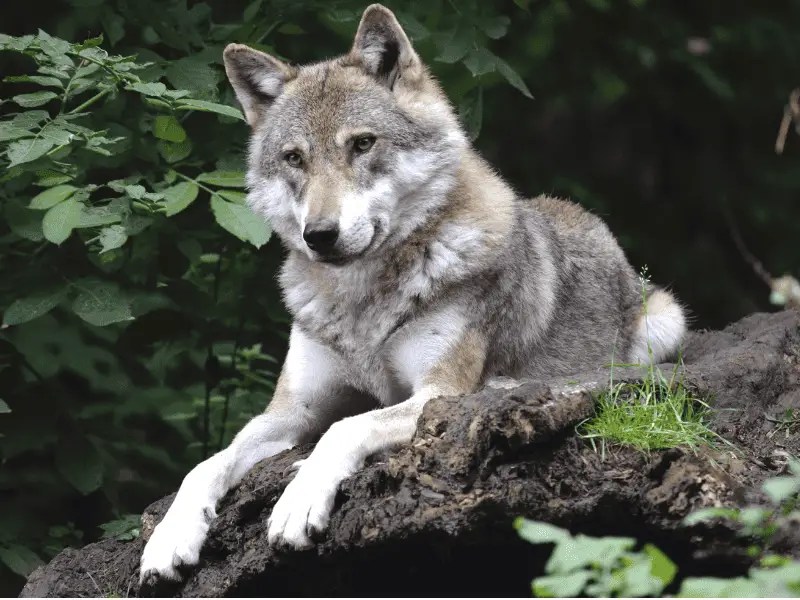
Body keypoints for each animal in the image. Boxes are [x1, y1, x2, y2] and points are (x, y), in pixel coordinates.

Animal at [139, 4, 686, 583]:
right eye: (294, 159)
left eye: (362, 143)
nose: (319, 235)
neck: (361, 304)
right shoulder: (291, 411)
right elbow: (206, 464)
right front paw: (169, 538)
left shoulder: (434, 393)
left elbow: (345, 428)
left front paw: (298, 501)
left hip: (663, 323)